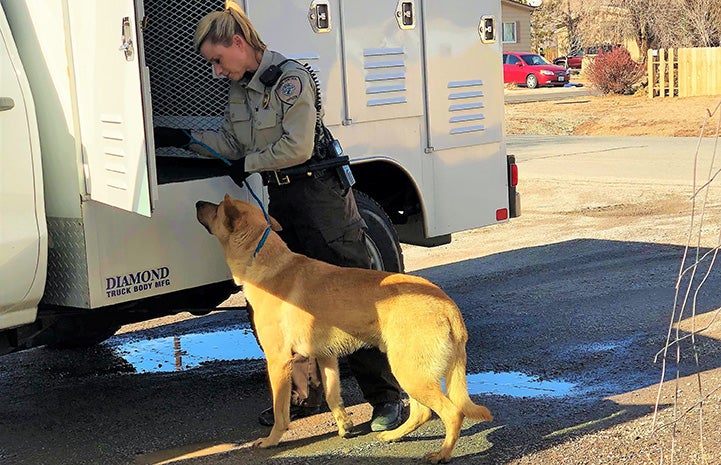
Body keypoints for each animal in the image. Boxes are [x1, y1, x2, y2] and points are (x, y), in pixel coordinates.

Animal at [194, 194, 492, 462]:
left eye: (217, 208)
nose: (197, 203)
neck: (263, 259)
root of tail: (447, 305)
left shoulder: (278, 360)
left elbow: (281, 411)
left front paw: (272, 440)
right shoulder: (326, 356)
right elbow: (331, 394)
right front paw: (344, 426)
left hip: (409, 372)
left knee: (451, 413)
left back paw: (442, 453)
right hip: (411, 371)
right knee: (422, 412)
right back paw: (394, 435)